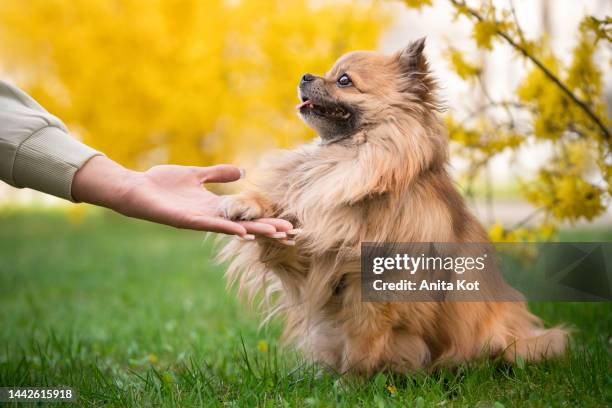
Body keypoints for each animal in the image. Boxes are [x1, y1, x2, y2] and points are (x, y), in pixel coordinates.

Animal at [218, 38, 568, 376]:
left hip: (501, 338)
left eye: (343, 80)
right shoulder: (311, 256)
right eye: (328, 72)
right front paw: (245, 204)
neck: (349, 159)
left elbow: (362, 343)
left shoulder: (377, 287)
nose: (305, 76)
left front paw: (350, 383)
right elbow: (283, 212)